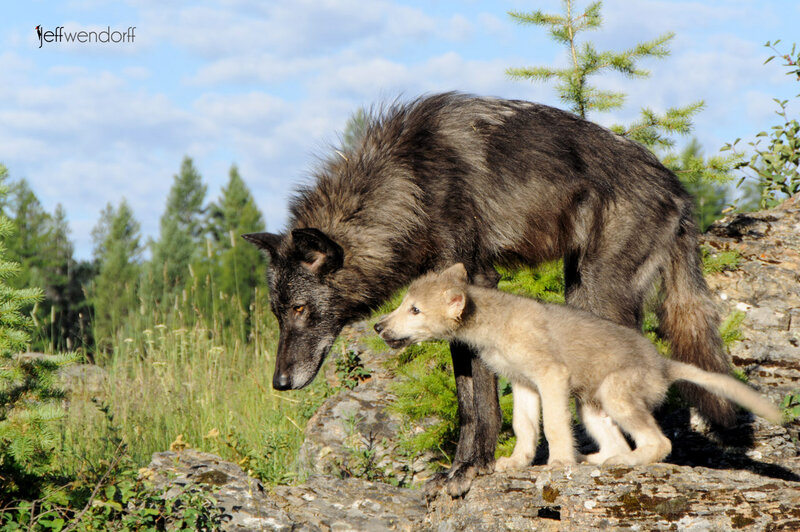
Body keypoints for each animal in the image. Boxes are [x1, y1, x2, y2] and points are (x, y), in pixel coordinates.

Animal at [242, 92, 734, 496]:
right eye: (278, 313)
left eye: (301, 308)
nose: (279, 383)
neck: (411, 183)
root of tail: (679, 191)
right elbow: (466, 403)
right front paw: (458, 469)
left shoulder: (476, 283)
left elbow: (481, 401)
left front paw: (471, 470)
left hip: (597, 295)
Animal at [374, 264, 783, 468]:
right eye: (405, 304)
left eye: (415, 310)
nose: (378, 327)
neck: (496, 326)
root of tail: (664, 363)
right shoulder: (523, 384)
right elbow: (525, 428)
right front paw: (517, 463)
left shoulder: (551, 376)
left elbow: (554, 426)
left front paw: (558, 463)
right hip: (592, 408)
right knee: (615, 442)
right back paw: (598, 459)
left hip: (617, 397)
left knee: (659, 443)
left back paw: (625, 462)